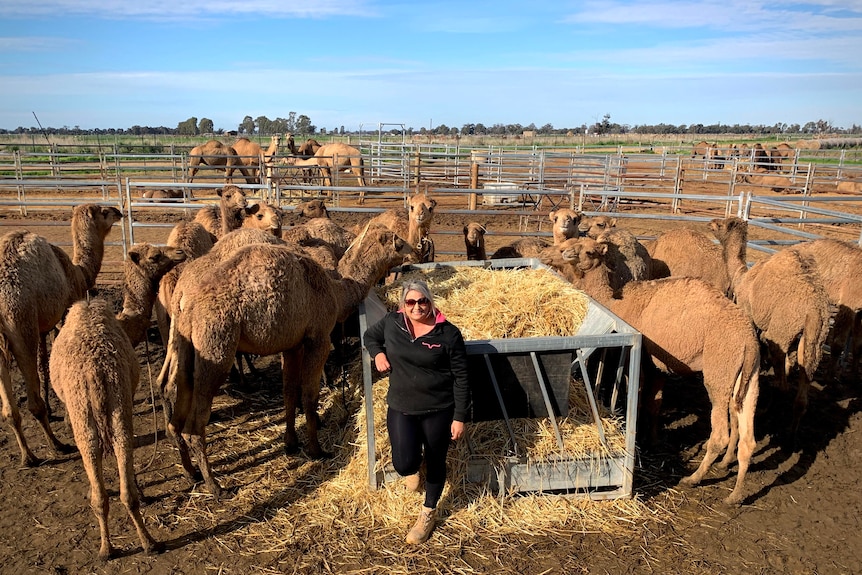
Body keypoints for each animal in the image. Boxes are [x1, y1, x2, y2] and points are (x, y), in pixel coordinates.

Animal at [0, 205, 123, 466]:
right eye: (104, 212)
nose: (119, 210)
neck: (77, 272)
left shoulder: (44, 324)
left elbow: (44, 365)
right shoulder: (64, 311)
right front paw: (65, 417)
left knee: (9, 408)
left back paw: (28, 455)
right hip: (21, 324)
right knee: (32, 400)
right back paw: (55, 446)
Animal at [159, 225, 416, 496]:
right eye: (398, 241)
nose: (415, 250)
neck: (336, 291)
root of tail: (184, 298)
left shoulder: (292, 344)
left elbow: (290, 391)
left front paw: (291, 443)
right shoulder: (318, 338)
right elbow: (309, 395)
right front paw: (316, 450)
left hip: (183, 340)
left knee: (173, 394)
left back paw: (191, 472)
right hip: (215, 346)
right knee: (195, 420)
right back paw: (216, 487)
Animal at [556, 236, 760, 506]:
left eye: (589, 251)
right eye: (575, 240)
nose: (565, 252)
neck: (617, 303)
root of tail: (749, 341)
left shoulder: (643, 358)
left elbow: (641, 398)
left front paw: (643, 438)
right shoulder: (660, 364)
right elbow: (656, 402)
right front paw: (653, 440)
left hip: (719, 369)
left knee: (720, 432)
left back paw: (693, 478)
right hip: (749, 376)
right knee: (747, 432)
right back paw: (734, 491)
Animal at [712, 216, 832, 436]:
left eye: (721, 224)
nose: (710, 222)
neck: (742, 276)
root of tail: (814, 310)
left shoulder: (748, 312)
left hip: (783, 330)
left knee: (782, 382)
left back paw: (765, 412)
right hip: (814, 340)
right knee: (804, 380)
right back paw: (792, 430)